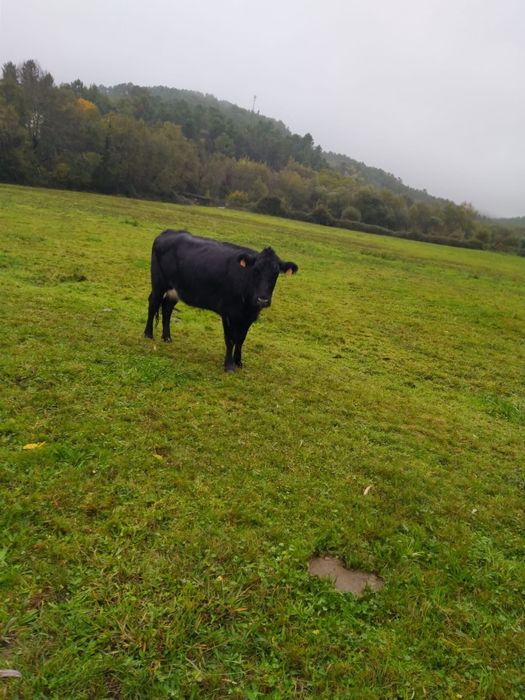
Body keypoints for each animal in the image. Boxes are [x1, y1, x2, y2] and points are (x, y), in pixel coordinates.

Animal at [144, 230, 298, 371]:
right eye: (256, 270)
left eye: (276, 273)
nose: (263, 299)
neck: (247, 304)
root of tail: (167, 232)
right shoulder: (228, 313)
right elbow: (230, 339)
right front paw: (229, 365)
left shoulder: (249, 317)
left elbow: (241, 339)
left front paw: (238, 362)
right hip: (159, 283)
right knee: (153, 303)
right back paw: (148, 334)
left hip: (174, 290)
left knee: (167, 308)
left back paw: (167, 337)